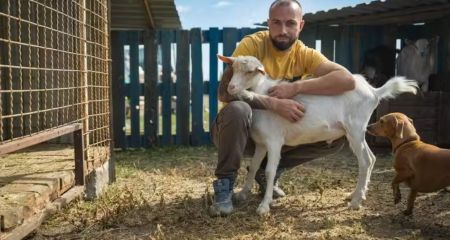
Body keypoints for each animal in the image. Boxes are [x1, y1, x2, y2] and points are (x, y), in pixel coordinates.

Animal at [218, 54, 418, 216]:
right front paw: (242, 194)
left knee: (366, 160)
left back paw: (356, 202)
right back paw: (355, 195)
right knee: (372, 158)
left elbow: (269, 171)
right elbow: (252, 167)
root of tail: (374, 91)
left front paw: (264, 206)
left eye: (250, 72)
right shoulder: (261, 143)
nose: (231, 87)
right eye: (233, 69)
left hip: (355, 128)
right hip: (356, 132)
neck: (262, 96)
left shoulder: (274, 141)